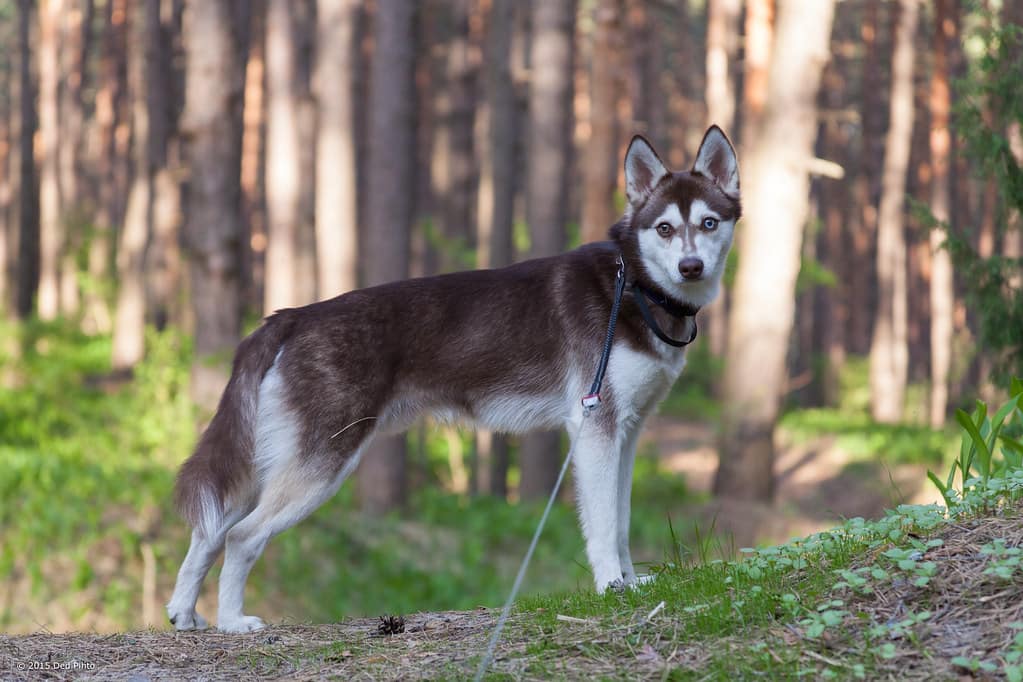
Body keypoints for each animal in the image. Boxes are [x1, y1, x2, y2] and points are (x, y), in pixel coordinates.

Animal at [169, 125, 744, 633]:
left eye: (709, 223)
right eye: (664, 228)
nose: (691, 268)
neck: (635, 286)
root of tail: (292, 315)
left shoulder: (626, 434)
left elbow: (621, 522)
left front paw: (630, 582)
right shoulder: (596, 430)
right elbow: (603, 526)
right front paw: (610, 588)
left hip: (272, 460)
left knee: (210, 531)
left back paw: (184, 614)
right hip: (319, 465)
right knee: (241, 536)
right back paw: (232, 622)